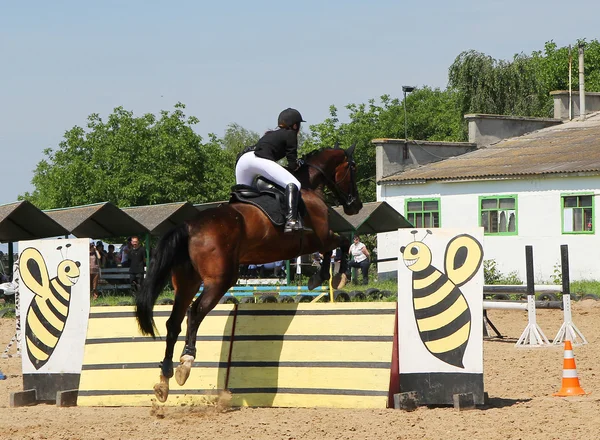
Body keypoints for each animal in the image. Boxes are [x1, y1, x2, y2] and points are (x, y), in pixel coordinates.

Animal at [135, 144, 360, 402]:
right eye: (353, 168)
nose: (355, 205)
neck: (308, 188)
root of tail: (189, 226)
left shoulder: (316, 240)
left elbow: (335, 248)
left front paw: (322, 278)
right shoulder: (319, 236)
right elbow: (341, 244)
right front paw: (335, 277)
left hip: (187, 283)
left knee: (174, 322)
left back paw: (165, 377)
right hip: (220, 280)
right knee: (195, 312)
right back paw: (186, 362)